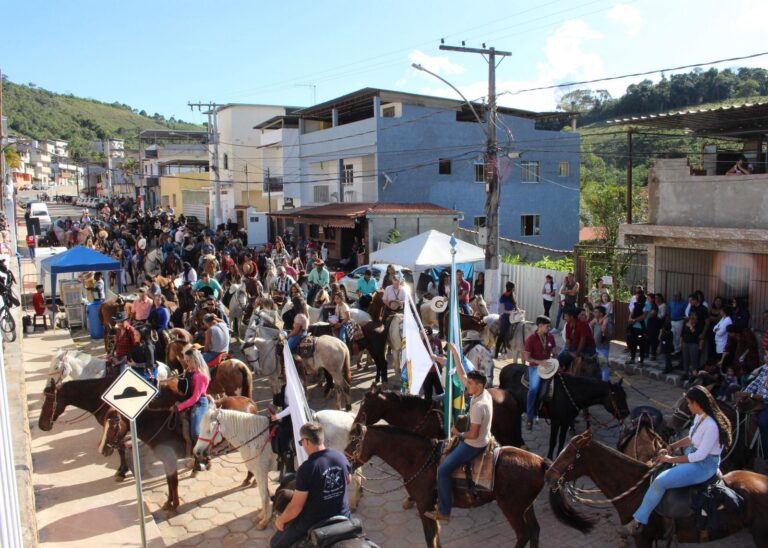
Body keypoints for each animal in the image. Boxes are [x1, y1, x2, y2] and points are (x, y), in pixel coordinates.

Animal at [345, 423, 593, 548]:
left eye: (353, 442)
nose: (346, 462)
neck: (420, 459)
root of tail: (542, 462)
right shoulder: (432, 507)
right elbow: (436, 536)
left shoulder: (424, 505)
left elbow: (429, 537)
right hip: (525, 506)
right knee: (534, 531)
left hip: (512, 508)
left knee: (523, 534)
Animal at [499, 364, 630, 459]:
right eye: (616, 396)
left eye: (625, 395)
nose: (626, 413)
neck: (572, 391)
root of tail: (504, 369)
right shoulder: (556, 420)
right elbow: (553, 441)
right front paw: (549, 458)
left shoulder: (566, 421)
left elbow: (562, 441)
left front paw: (559, 456)